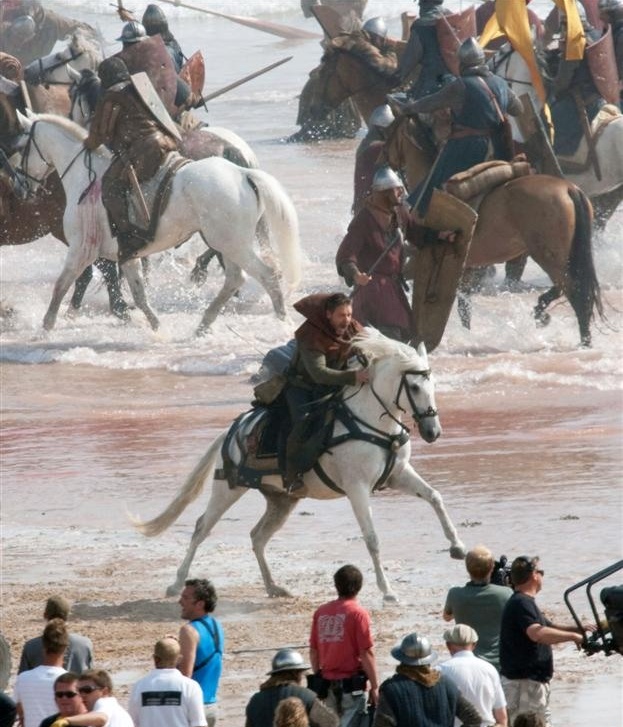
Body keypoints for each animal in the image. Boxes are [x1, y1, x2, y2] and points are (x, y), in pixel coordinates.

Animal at [18, 112, 302, 334]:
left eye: (20, 147)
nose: (22, 187)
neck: (87, 179)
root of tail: (243, 173)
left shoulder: (81, 250)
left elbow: (61, 285)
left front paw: (46, 327)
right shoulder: (126, 254)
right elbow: (139, 294)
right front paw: (157, 327)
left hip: (231, 244)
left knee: (267, 276)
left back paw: (282, 321)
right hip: (229, 244)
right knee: (234, 279)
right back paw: (203, 325)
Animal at [135, 330, 468, 604]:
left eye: (433, 383)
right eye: (414, 386)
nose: (433, 432)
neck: (371, 421)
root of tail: (232, 430)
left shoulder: (398, 475)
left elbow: (434, 496)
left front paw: (457, 547)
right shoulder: (357, 487)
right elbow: (372, 538)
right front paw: (387, 591)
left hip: (282, 500)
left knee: (257, 536)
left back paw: (273, 587)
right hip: (228, 488)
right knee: (201, 527)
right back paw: (176, 584)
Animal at [382, 116, 608, 346]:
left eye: (390, 132)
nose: (382, 159)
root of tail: (569, 189)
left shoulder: (417, 260)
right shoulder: (466, 268)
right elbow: (464, 306)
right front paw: (467, 335)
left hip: (549, 256)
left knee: (572, 288)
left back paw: (575, 334)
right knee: (573, 288)